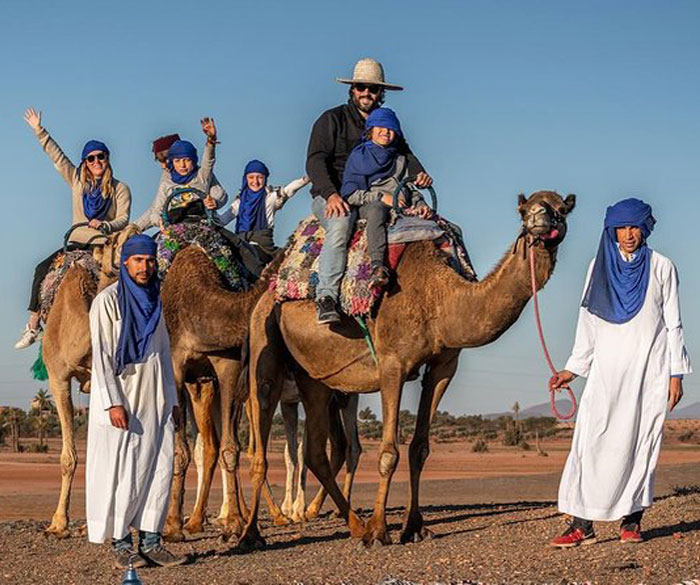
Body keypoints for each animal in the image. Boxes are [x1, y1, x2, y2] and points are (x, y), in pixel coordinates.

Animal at [239, 192, 576, 548]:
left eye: (561, 208)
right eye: (523, 210)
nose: (538, 219)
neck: (441, 298)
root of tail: (269, 290)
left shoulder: (444, 366)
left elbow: (419, 448)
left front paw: (413, 526)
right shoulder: (392, 364)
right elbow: (389, 453)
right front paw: (379, 531)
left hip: (316, 377)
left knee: (316, 450)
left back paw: (353, 525)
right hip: (265, 344)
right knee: (260, 438)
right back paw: (251, 534)